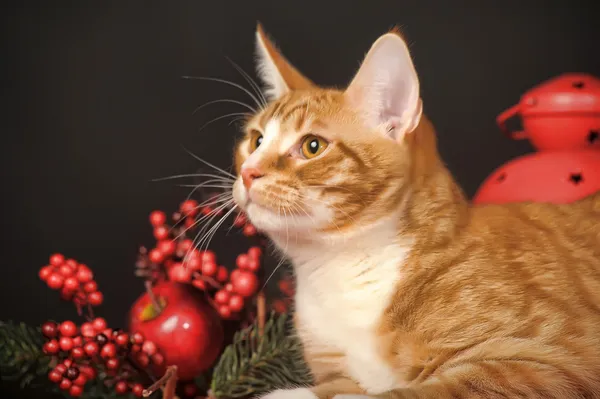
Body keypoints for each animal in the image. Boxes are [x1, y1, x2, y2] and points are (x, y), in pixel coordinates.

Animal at [231, 25, 600, 399]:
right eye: (256, 141)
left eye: (312, 146)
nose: (248, 172)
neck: (341, 268)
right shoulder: (335, 370)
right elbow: (335, 387)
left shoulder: (548, 363)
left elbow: (411, 391)